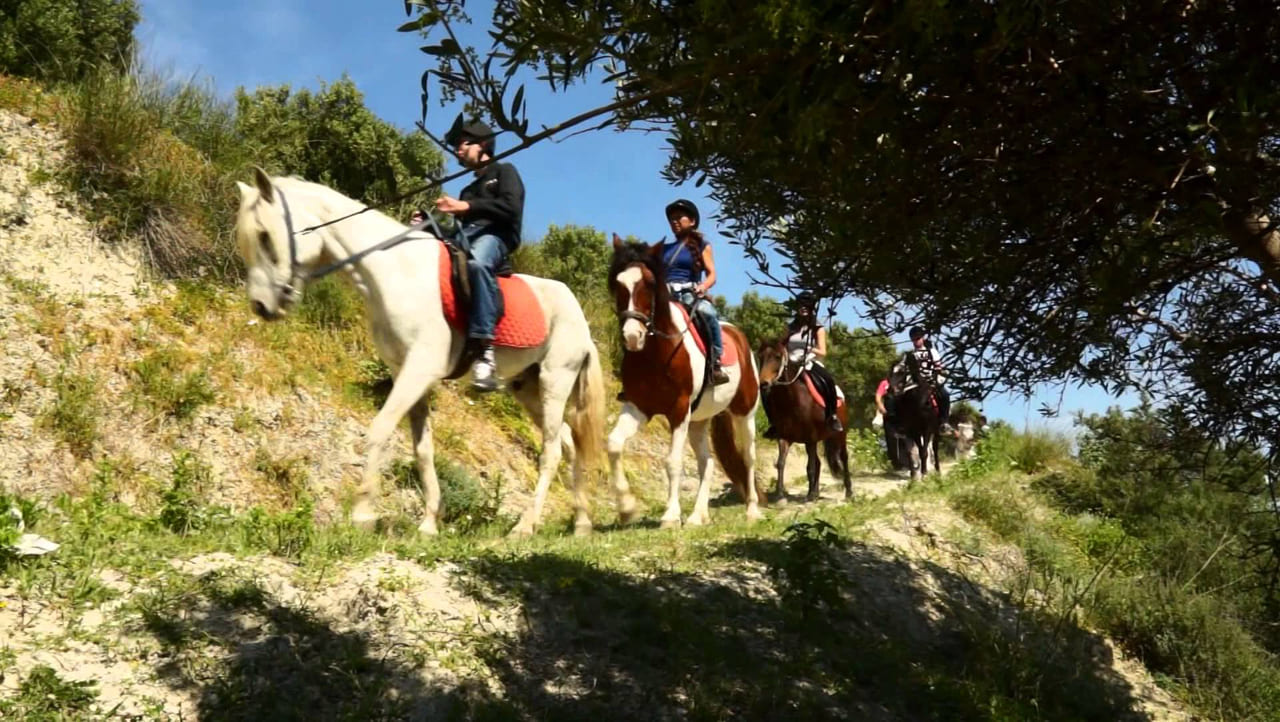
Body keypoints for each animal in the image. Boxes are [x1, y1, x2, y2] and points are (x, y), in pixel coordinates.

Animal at [233, 168, 607, 537]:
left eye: (264, 236)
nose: (261, 307)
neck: (395, 271)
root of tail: (582, 321)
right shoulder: (407, 373)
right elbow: (423, 449)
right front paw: (428, 523)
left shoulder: (420, 369)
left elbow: (380, 429)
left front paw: (363, 513)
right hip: (527, 389)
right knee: (569, 443)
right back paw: (581, 523)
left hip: (555, 380)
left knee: (552, 451)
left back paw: (525, 526)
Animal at [606, 236, 766, 527]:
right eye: (618, 284)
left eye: (649, 283)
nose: (632, 337)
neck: (657, 352)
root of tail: (739, 337)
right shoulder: (638, 407)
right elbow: (613, 444)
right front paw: (626, 508)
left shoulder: (678, 410)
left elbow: (673, 462)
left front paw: (670, 516)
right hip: (699, 422)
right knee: (708, 462)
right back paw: (697, 516)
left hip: (744, 413)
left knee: (748, 457)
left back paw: (751, 510)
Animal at [756, 338, 852, 502]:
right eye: (760, 357)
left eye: (777, 357)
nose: (763, 383)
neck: (792, 399)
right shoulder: (785, 437)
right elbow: (781, 463)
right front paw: (780, 495)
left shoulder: (811, 438)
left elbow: (810, 467)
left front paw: (810, 496)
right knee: (818, 463)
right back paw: (814, 492)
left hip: (840, 435)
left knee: (843, 458)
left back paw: (849, 493)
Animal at [891, 352, 942, 480]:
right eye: (891, 371)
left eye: (902, 372)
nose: (890, 389)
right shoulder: (914, 431)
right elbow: (919, 451)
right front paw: (919, 473)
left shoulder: (927, 429)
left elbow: (924, 452)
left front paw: (924, 473)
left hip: (936, 430)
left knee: (935, 449)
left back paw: (938, 471)